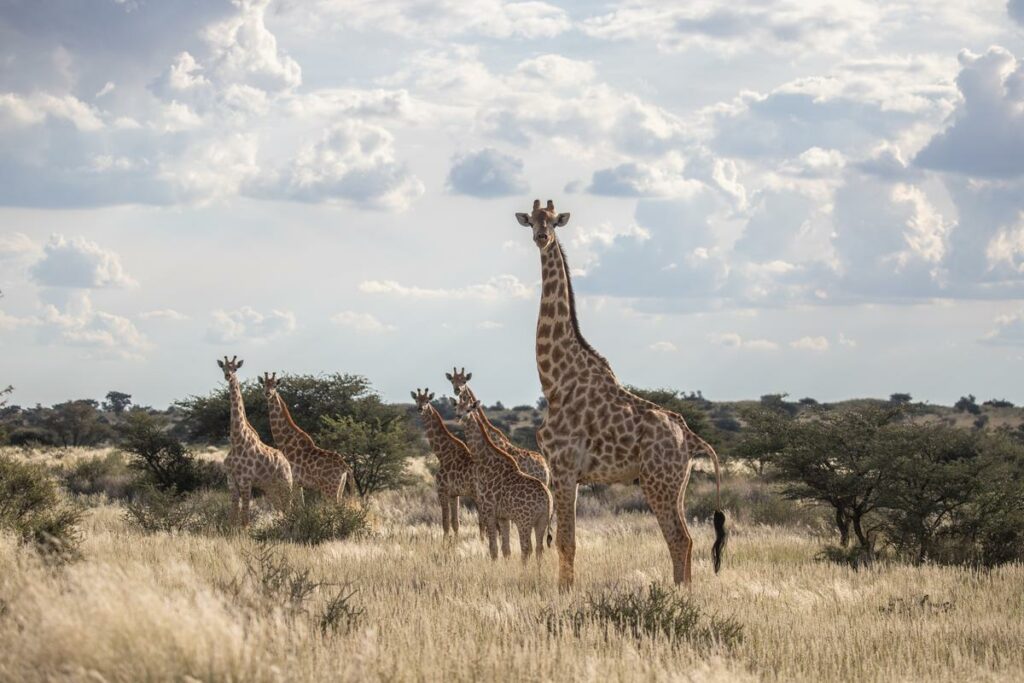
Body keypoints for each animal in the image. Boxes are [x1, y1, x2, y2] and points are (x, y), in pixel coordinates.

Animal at [217, 356, 293, 527]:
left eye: (235, 368)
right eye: (223, 367)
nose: (227, 376)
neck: (237, 440)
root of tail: (287, 462)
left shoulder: (246, 481)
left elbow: (245, 517)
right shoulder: (231, 481)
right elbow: (233, 515)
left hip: (286, 483)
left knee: (290, 506)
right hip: (270, 488)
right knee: (280, 508)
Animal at [260, 372, 358, 504]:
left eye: (275, 385)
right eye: (264, 384)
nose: (268, 393)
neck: (284, 440)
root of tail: (345, 467)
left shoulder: (294, 481)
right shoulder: (299, 484)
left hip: (329, 488)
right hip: (340, 487)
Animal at [411, 387, 483, 539]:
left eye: (427, 400)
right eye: (416, 400)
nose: (420, 409)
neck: (443, 454)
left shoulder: (442, 490)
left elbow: (445, 523)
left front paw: (445, 544)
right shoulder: (454, 494)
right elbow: (455, 523)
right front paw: (454, 543)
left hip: (479, 495)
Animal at [455, 389, 553, 563]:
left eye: (468, 409)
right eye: (457, 408)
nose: (458, 417)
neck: (484, 461)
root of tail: (547, 499)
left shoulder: (489, 510)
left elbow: (493, 549)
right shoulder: (503, 516)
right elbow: (506, 549)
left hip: (524, 521)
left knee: (527, 548)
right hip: (541, 521)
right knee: (539, 549)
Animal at [514, 199, 727, 589]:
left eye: (553, 221)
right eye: (532, 221)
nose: (541, 237)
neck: (553, 380)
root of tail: (690, 437)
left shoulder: (564, 467)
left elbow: (566, 542)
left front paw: (564, 593)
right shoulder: (565, 472)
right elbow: (564, 541)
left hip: (658, 482)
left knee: (678, 538)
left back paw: (678, 594)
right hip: (677, 483)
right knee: (688, 539)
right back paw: (686, 592)